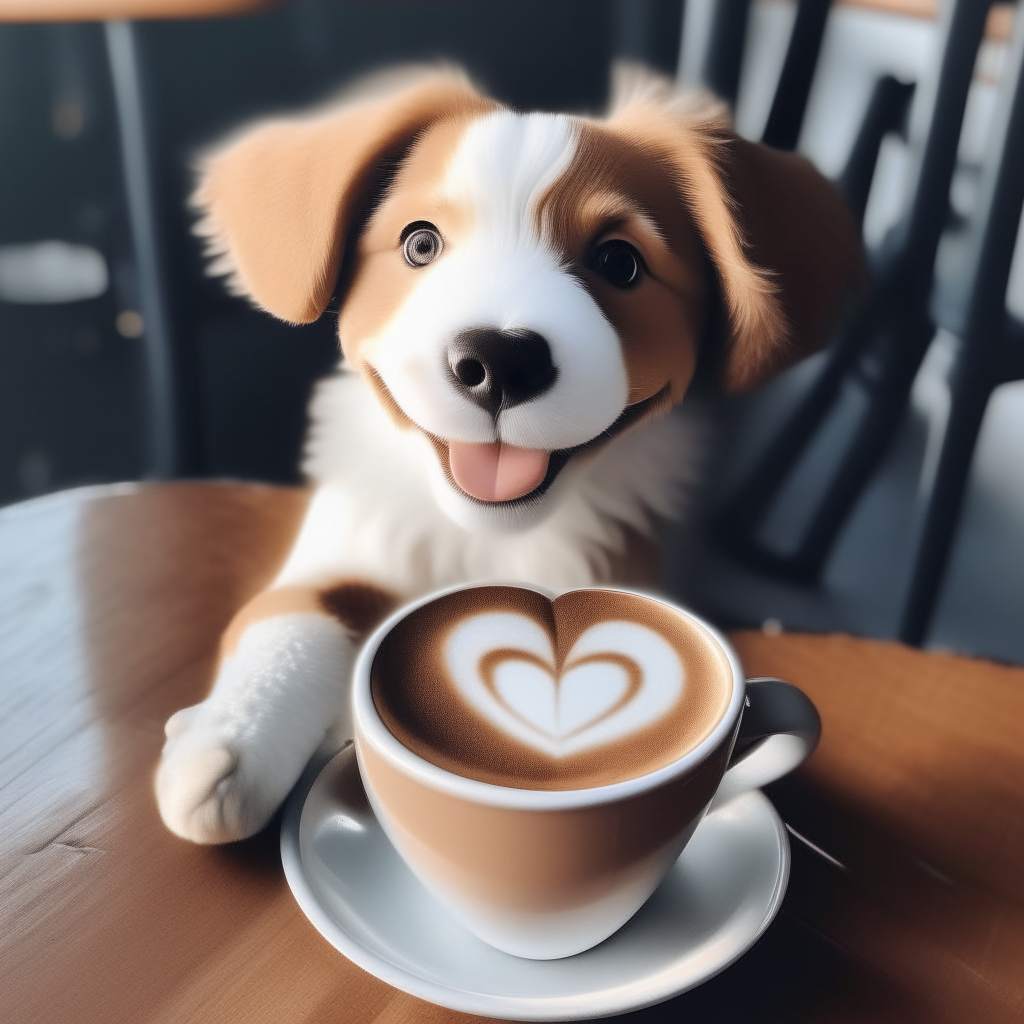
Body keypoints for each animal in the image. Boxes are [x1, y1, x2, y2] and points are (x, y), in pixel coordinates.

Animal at [155, 68, 860, 843]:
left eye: (620, 263)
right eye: (420, 245)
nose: (498, 362)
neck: (486, 537)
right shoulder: (344, 544)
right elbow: (285, 617)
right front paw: (227, 746)